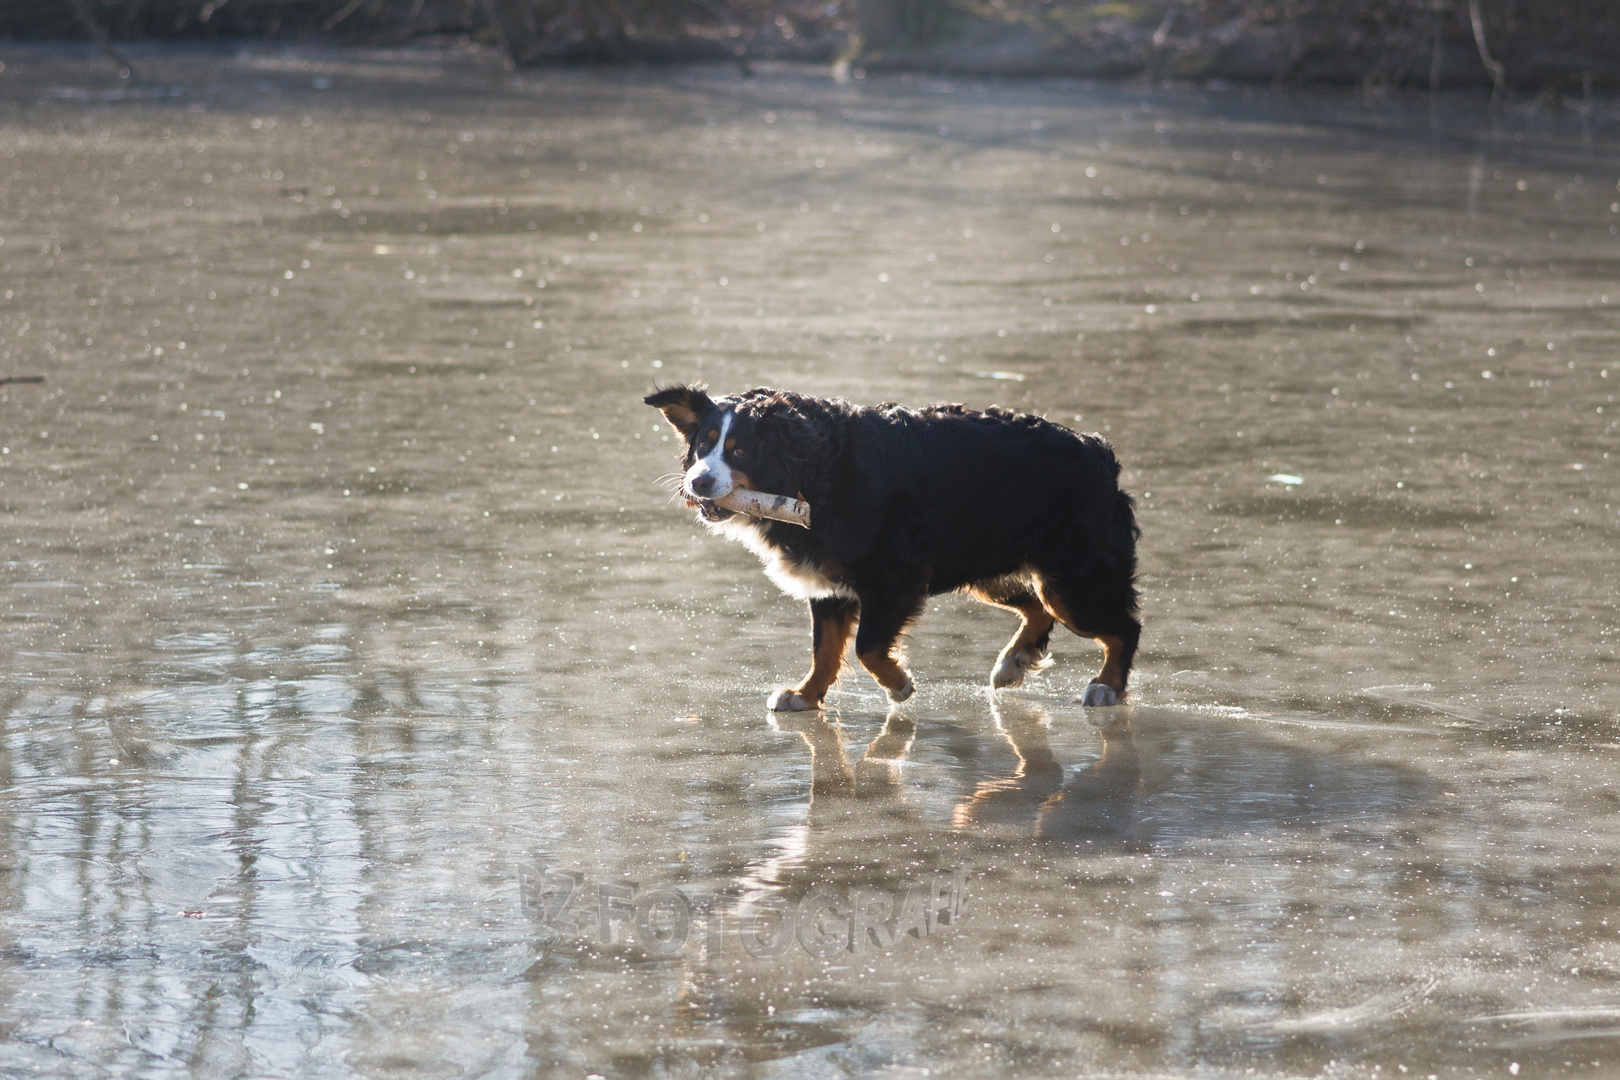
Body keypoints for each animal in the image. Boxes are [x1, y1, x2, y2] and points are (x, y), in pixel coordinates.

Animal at [644, 386, 1140, 709]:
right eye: (703, 445)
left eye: (740, 451)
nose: (698, 482)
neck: (813, 472)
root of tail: (1100, 452)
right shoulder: (827, 582)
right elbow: (824, 649)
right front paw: (805, 695)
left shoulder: (892, 577)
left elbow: (866, 647)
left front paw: (898, 683)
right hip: (989, 568)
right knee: (1036, 608)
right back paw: (1014, 661)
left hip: (1073, 579)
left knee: (1122, 627)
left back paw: (1107, 687)